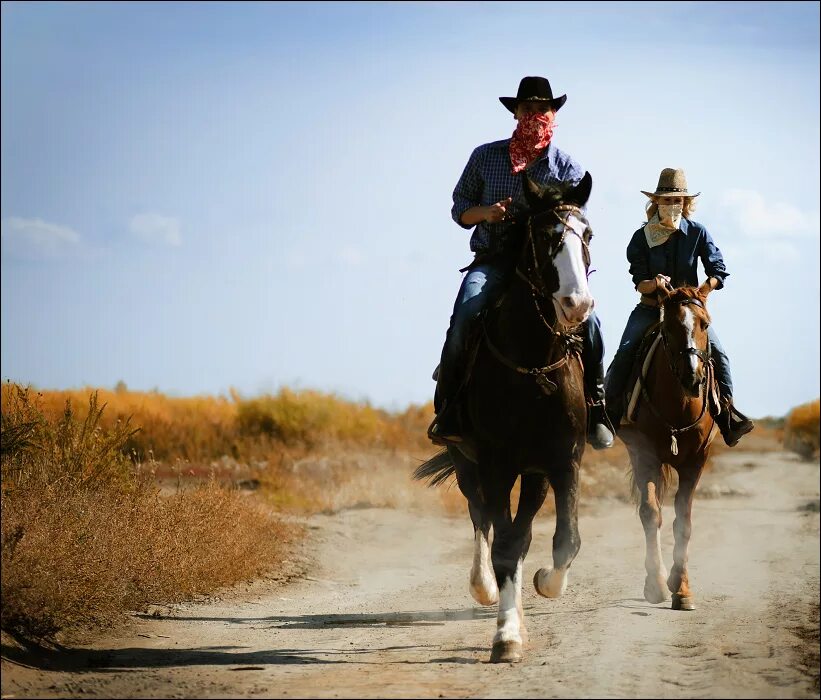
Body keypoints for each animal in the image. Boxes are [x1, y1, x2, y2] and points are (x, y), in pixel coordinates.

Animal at [414, 170, 592, 660]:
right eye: (546, 236)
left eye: (587, 234)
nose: (577, 305)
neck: (533, 368)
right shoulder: (495, 464)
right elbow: (504, 545)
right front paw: (507, 635)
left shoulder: (563, 462)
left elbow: (563, 540)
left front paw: (545, 584)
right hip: (466, 462)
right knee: (481, 519)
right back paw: (485, 588)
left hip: (533, 474)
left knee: (520, 529)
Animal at [620, 282, 716, 608]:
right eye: (668, 327)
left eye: (705, 324)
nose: (692, 376)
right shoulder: (645, 457)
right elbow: (651, 514)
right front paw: (657, 584)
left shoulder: (696, 461)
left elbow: (683, 521)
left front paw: (682, 588)